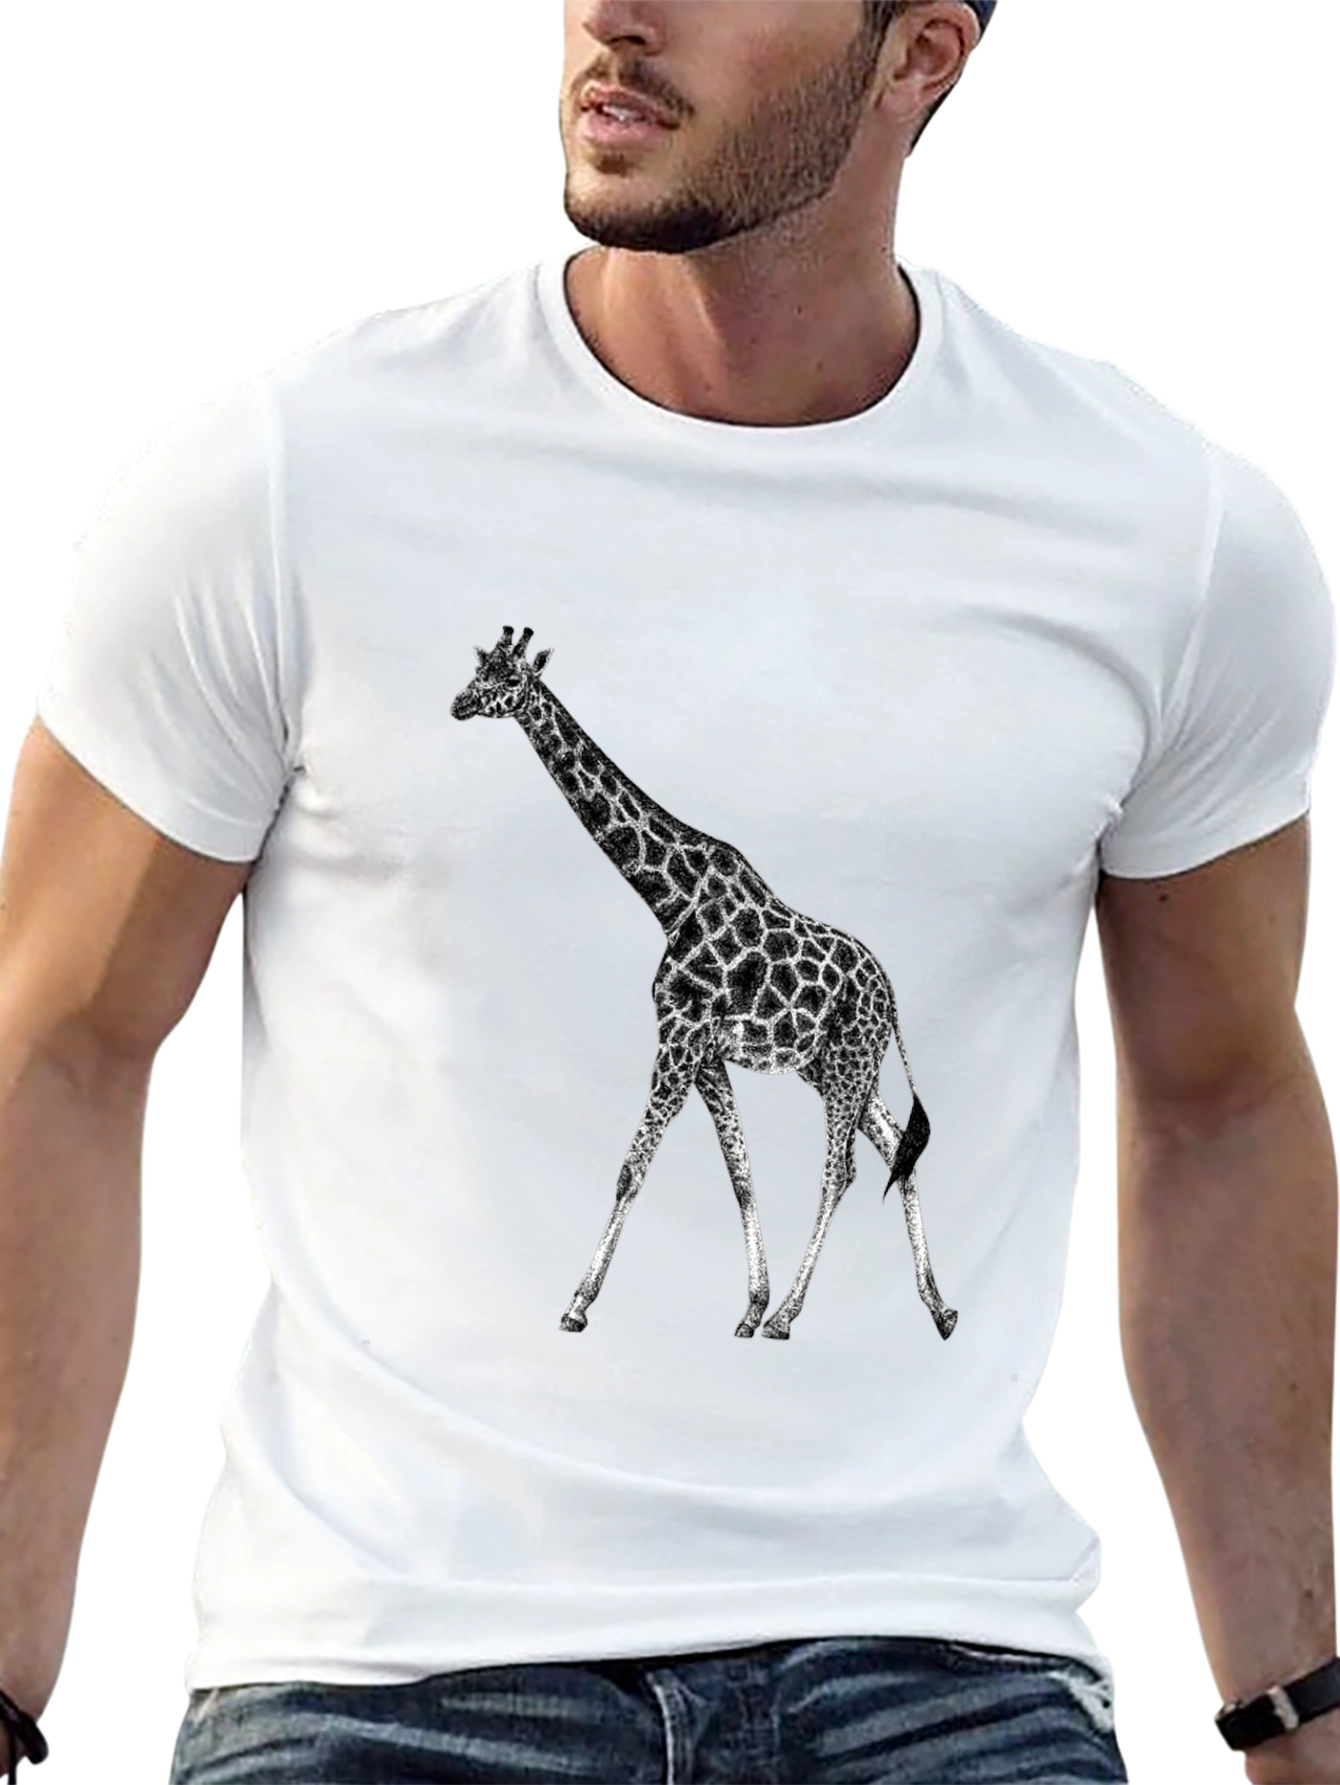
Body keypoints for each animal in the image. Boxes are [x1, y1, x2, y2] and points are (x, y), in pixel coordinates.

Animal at [450, 626, 957, 1343]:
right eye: (480, 669)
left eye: (510, 679)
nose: (459, 704)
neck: (670, 897)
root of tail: (892, 997)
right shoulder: (706, 1053)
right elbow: (739, 1173)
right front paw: (748, 1305)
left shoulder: (680, 1038)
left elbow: (631, 1170)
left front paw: (578, 1304)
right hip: (834, 1067)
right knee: (894, 1148)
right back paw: (938, 1307)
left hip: (850, 1063)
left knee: (841, 1170)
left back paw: (791, 1316)